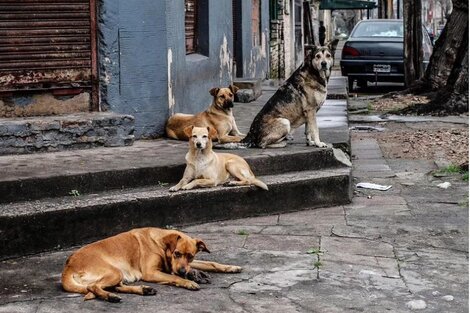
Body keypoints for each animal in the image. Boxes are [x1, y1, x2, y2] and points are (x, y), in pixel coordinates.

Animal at [60, 225, 241, 302]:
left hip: (117, 275)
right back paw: (110, 297)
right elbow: (174, 278)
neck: (161, 244)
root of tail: (69, 265)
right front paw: (188, 282)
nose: (183, 271)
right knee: (94, 287)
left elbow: (211, 262)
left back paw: (143, 290)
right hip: (114, 272)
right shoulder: (152, 272)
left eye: (190, 256)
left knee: (114, 287)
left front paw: (230, 267)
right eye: (177, 253)